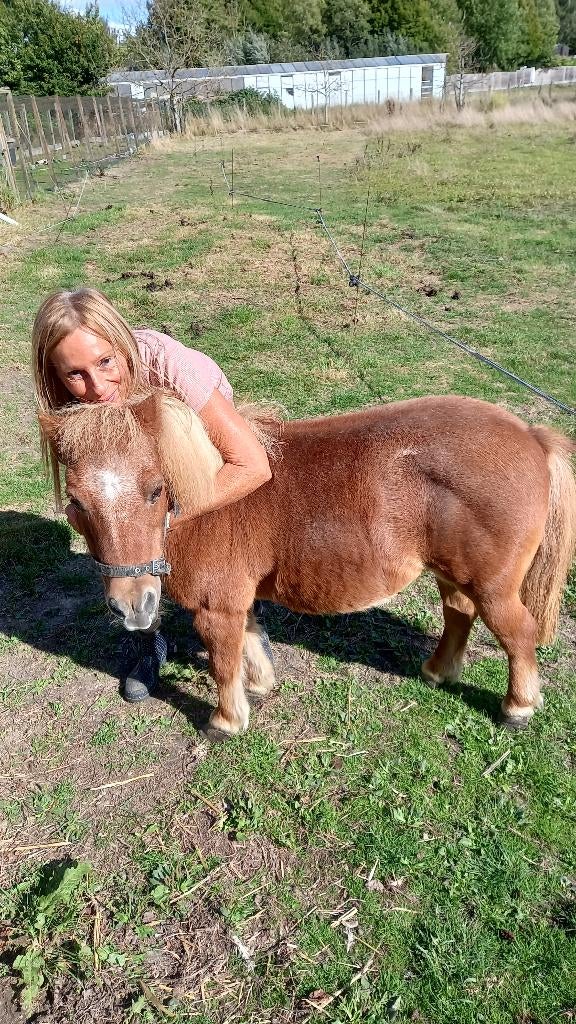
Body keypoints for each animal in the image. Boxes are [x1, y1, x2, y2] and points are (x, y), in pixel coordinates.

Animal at [39, 393, 576, 741]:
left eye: (155, 490)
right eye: (76, 502)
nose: (133, 606)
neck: (210, 498)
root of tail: (529, 435)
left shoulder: (216, 608)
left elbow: (223, 661)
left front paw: (226, 722)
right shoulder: (237, 601)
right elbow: (250, 642)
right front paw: (259, 686)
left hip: (493, 587)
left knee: (517, 633)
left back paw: (517, 708)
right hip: (453, 574)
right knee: (458, 615)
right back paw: (436, 672)